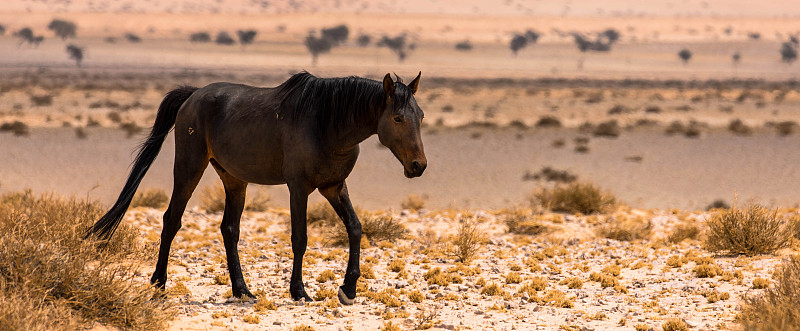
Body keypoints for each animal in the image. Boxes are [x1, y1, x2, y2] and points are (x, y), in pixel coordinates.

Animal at [84, 72, 428, 306]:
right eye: (398, 118)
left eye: (421, 116)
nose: (418, 166)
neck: (327, 123)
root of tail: (193, 95)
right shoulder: (298, 188)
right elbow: (300, 239)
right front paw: (299, 291)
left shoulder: (334, 187)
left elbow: (355, 229)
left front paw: (348, 289)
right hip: (188, 167)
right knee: (172, 220)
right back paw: (159, 283)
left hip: (234, 180)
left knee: (229, 229)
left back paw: (242, 290)